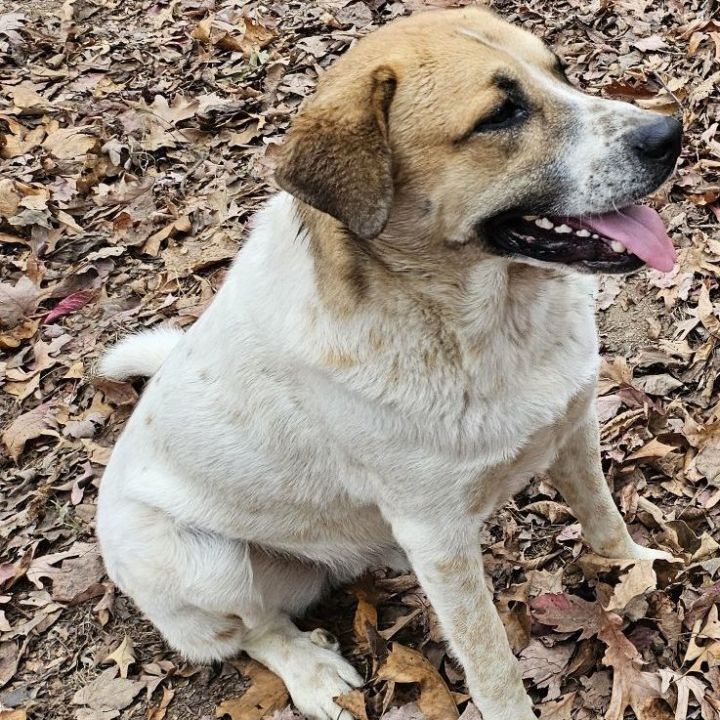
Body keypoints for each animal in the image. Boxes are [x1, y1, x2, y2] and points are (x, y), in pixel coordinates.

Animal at [95, 7, 680, 720]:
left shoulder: (572, 427)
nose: (670, 132)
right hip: (204, 562)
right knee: (256, 630)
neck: (486, 325)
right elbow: (490, 662)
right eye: (500, 115)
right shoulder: (438, 537)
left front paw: (636, 571)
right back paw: (313, 672)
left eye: (559, 71)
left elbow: (604, 520)